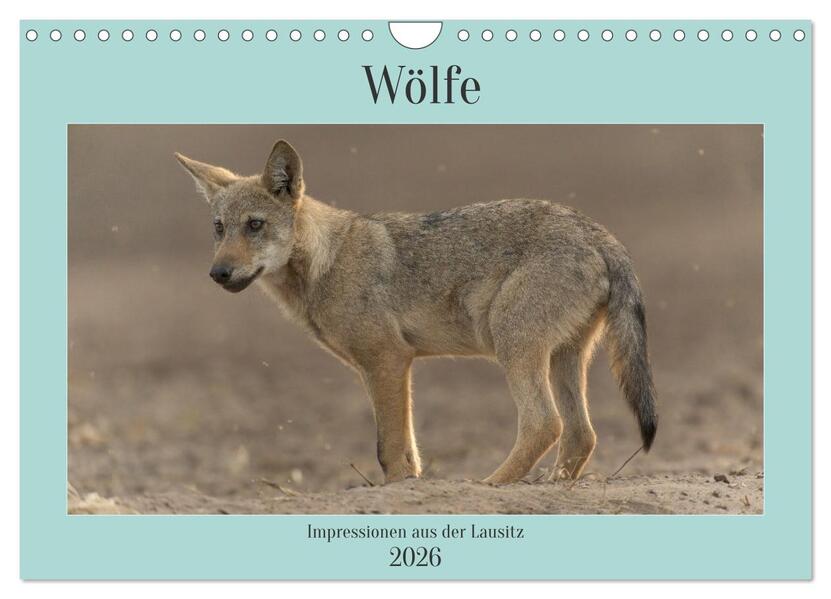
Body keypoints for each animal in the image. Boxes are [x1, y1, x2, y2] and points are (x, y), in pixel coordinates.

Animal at [175, 140, 657, 484]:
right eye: (219, 229)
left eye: (254, 225)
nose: (218, 273)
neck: (327, 262)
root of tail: (599, 232)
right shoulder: (384, 367)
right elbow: (407, 450)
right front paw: (412, 486)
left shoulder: (388, 360)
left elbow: (388, 449)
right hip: (563, 358)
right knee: (581, 435)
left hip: (514, 345)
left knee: (545, 424)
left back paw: (488, 486)